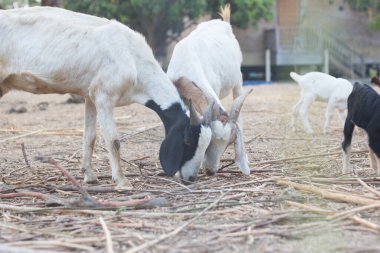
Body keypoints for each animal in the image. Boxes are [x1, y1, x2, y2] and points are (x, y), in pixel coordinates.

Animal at [0, 6, 214, 188]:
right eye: (187, 140)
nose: (191, 177)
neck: (132, 58)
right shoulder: (105, 98)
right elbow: (113, 141)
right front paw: (122, 181)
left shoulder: (90, 96)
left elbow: (90, 137)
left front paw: (90, 176)